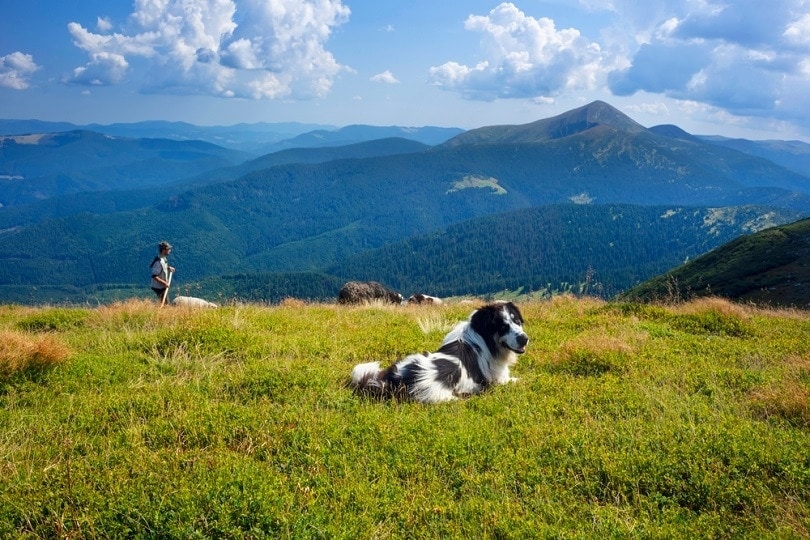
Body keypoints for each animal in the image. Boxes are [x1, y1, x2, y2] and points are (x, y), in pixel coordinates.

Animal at [348, 302, 528, 402]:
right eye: (503, 326)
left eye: (517, 321)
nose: (524, 339)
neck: (484, 337)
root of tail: (397, 379)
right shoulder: (499, 379)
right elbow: (521, 380)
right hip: (444, 396)